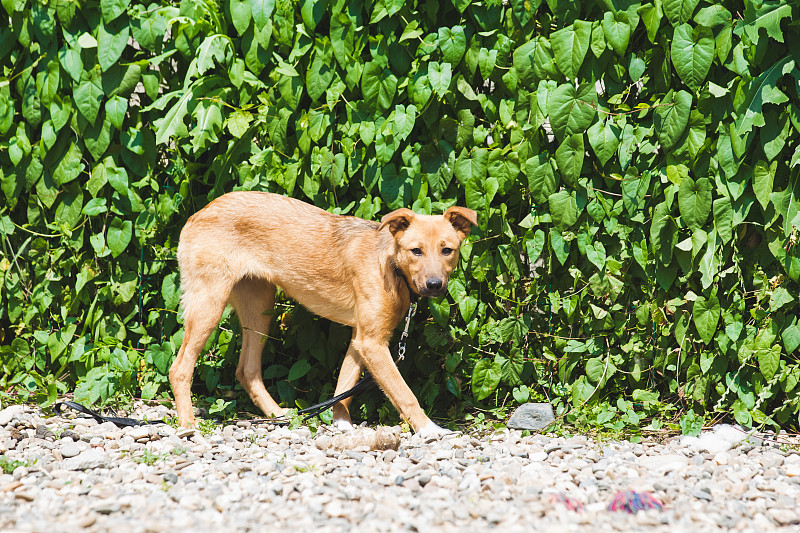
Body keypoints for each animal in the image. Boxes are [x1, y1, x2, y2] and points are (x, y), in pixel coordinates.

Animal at [170, 193, 478, 434]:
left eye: (447, 250)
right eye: (416, 251)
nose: (434, 285)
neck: (390, 264)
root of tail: (198, 213)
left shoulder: (361, 339)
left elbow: (344, 386)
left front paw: (341, 424)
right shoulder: (373, 344)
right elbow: (404, 393)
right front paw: (429, 429)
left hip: (259, 310)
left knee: (247, 370)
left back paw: (279, 415)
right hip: (209, 305)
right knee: (179, 368)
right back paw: (188, 424)